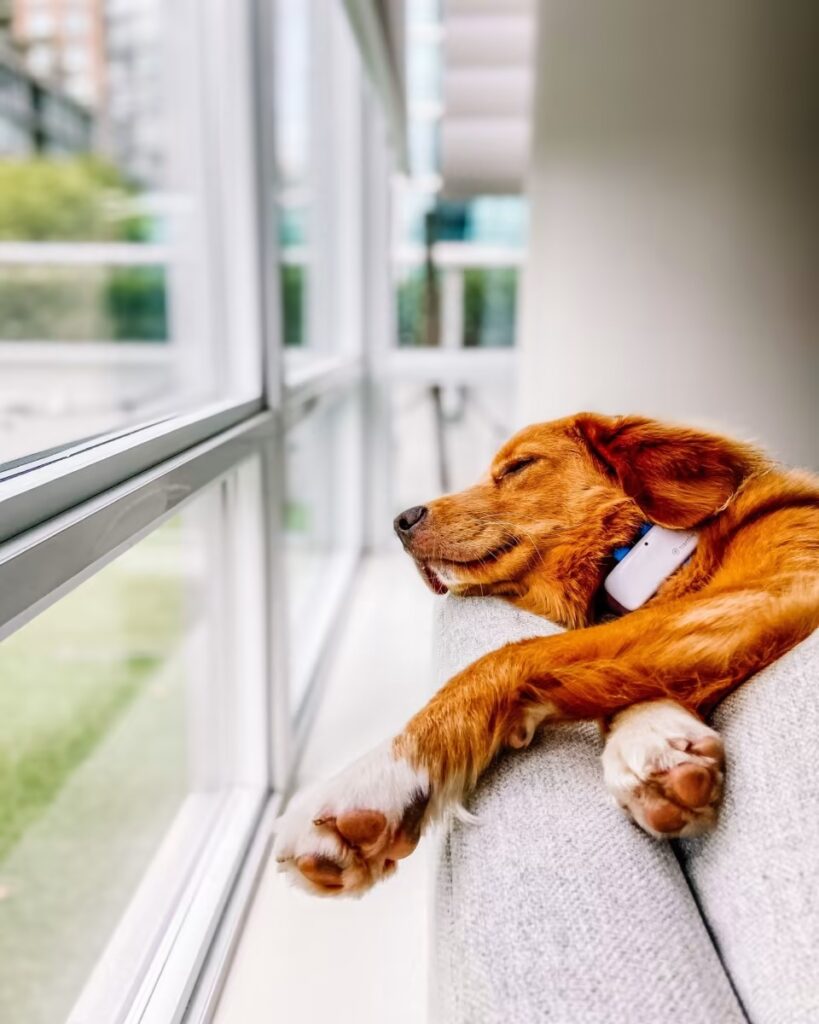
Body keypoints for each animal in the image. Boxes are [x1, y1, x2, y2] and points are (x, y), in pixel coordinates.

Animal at [272, 411, 814, 892]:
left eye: (518, 466)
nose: (400, 521)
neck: (642, 553)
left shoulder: (778, 585)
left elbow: (514, 655)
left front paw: (376, 779)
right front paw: (655, 740)